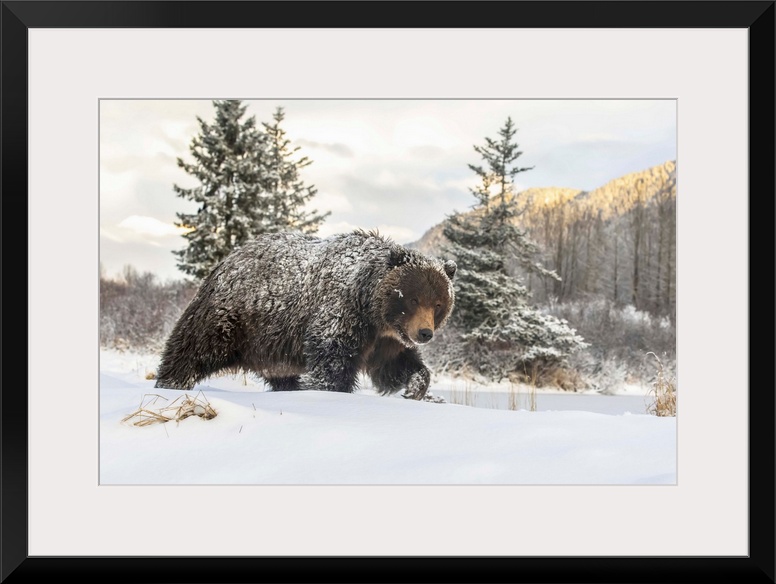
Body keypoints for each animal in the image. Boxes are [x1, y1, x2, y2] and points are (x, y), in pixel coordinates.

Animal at [155, 230, 458, 400]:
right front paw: (324, 388)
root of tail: (226, 260)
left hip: (271, 350)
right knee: (193, 349)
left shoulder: (385, 340)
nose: (424, 333)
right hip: (232, 318)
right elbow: (331, 362)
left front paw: (415, 387)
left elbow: (395, 366)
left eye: (438, 303)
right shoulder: (341, 315)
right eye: (413, 298)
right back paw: (170, 382)